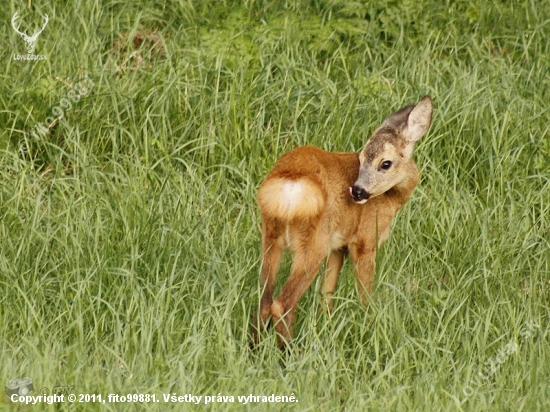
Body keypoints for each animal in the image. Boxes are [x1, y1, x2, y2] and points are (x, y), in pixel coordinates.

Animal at [252, 95, 434, 350]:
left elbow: (327, 292)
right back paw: (290, 352)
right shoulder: (365, 240)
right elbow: (365, 293)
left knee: (264, 300)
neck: (392, 199)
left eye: (385, 163)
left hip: (270, 236)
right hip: (314, 242)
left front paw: (325, 325)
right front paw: (371, 325)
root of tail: (288, 184)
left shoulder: (338, 246)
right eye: (362, 158)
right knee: (281, 304)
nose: (357, 191)